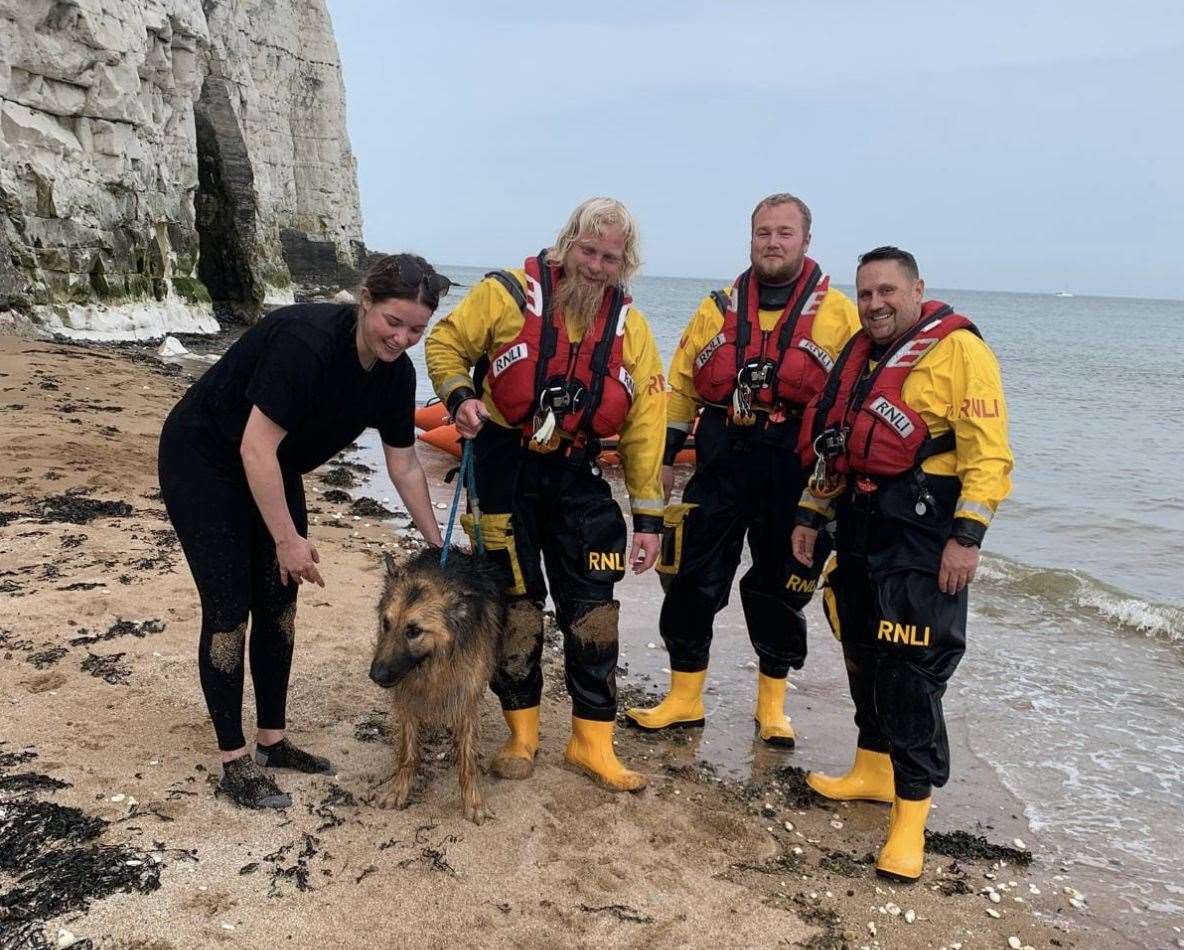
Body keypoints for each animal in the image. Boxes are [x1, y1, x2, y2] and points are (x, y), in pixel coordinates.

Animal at [367, 547, 502, 819]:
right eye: (386, 624)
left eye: (414, 631)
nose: (376, 675)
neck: (432, 664)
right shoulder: (407, 698)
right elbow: (408, 753)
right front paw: (398, 791)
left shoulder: (466, 695)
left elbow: (468, 758)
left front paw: (473, 801)